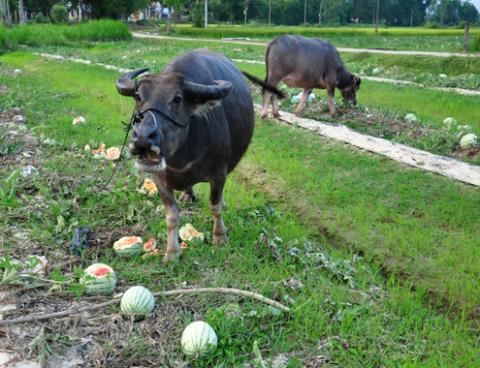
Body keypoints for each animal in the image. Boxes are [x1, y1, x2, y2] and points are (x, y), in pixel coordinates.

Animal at [115, 50, 284, 264]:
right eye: (138, 96)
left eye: (177, 98)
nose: (143, 137)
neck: (182, 157)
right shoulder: (160, 179)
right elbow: (171, 216)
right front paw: (172, 252)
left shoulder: (219, 174)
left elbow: (214, 206)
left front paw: (220, 237)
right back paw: (188, 195)